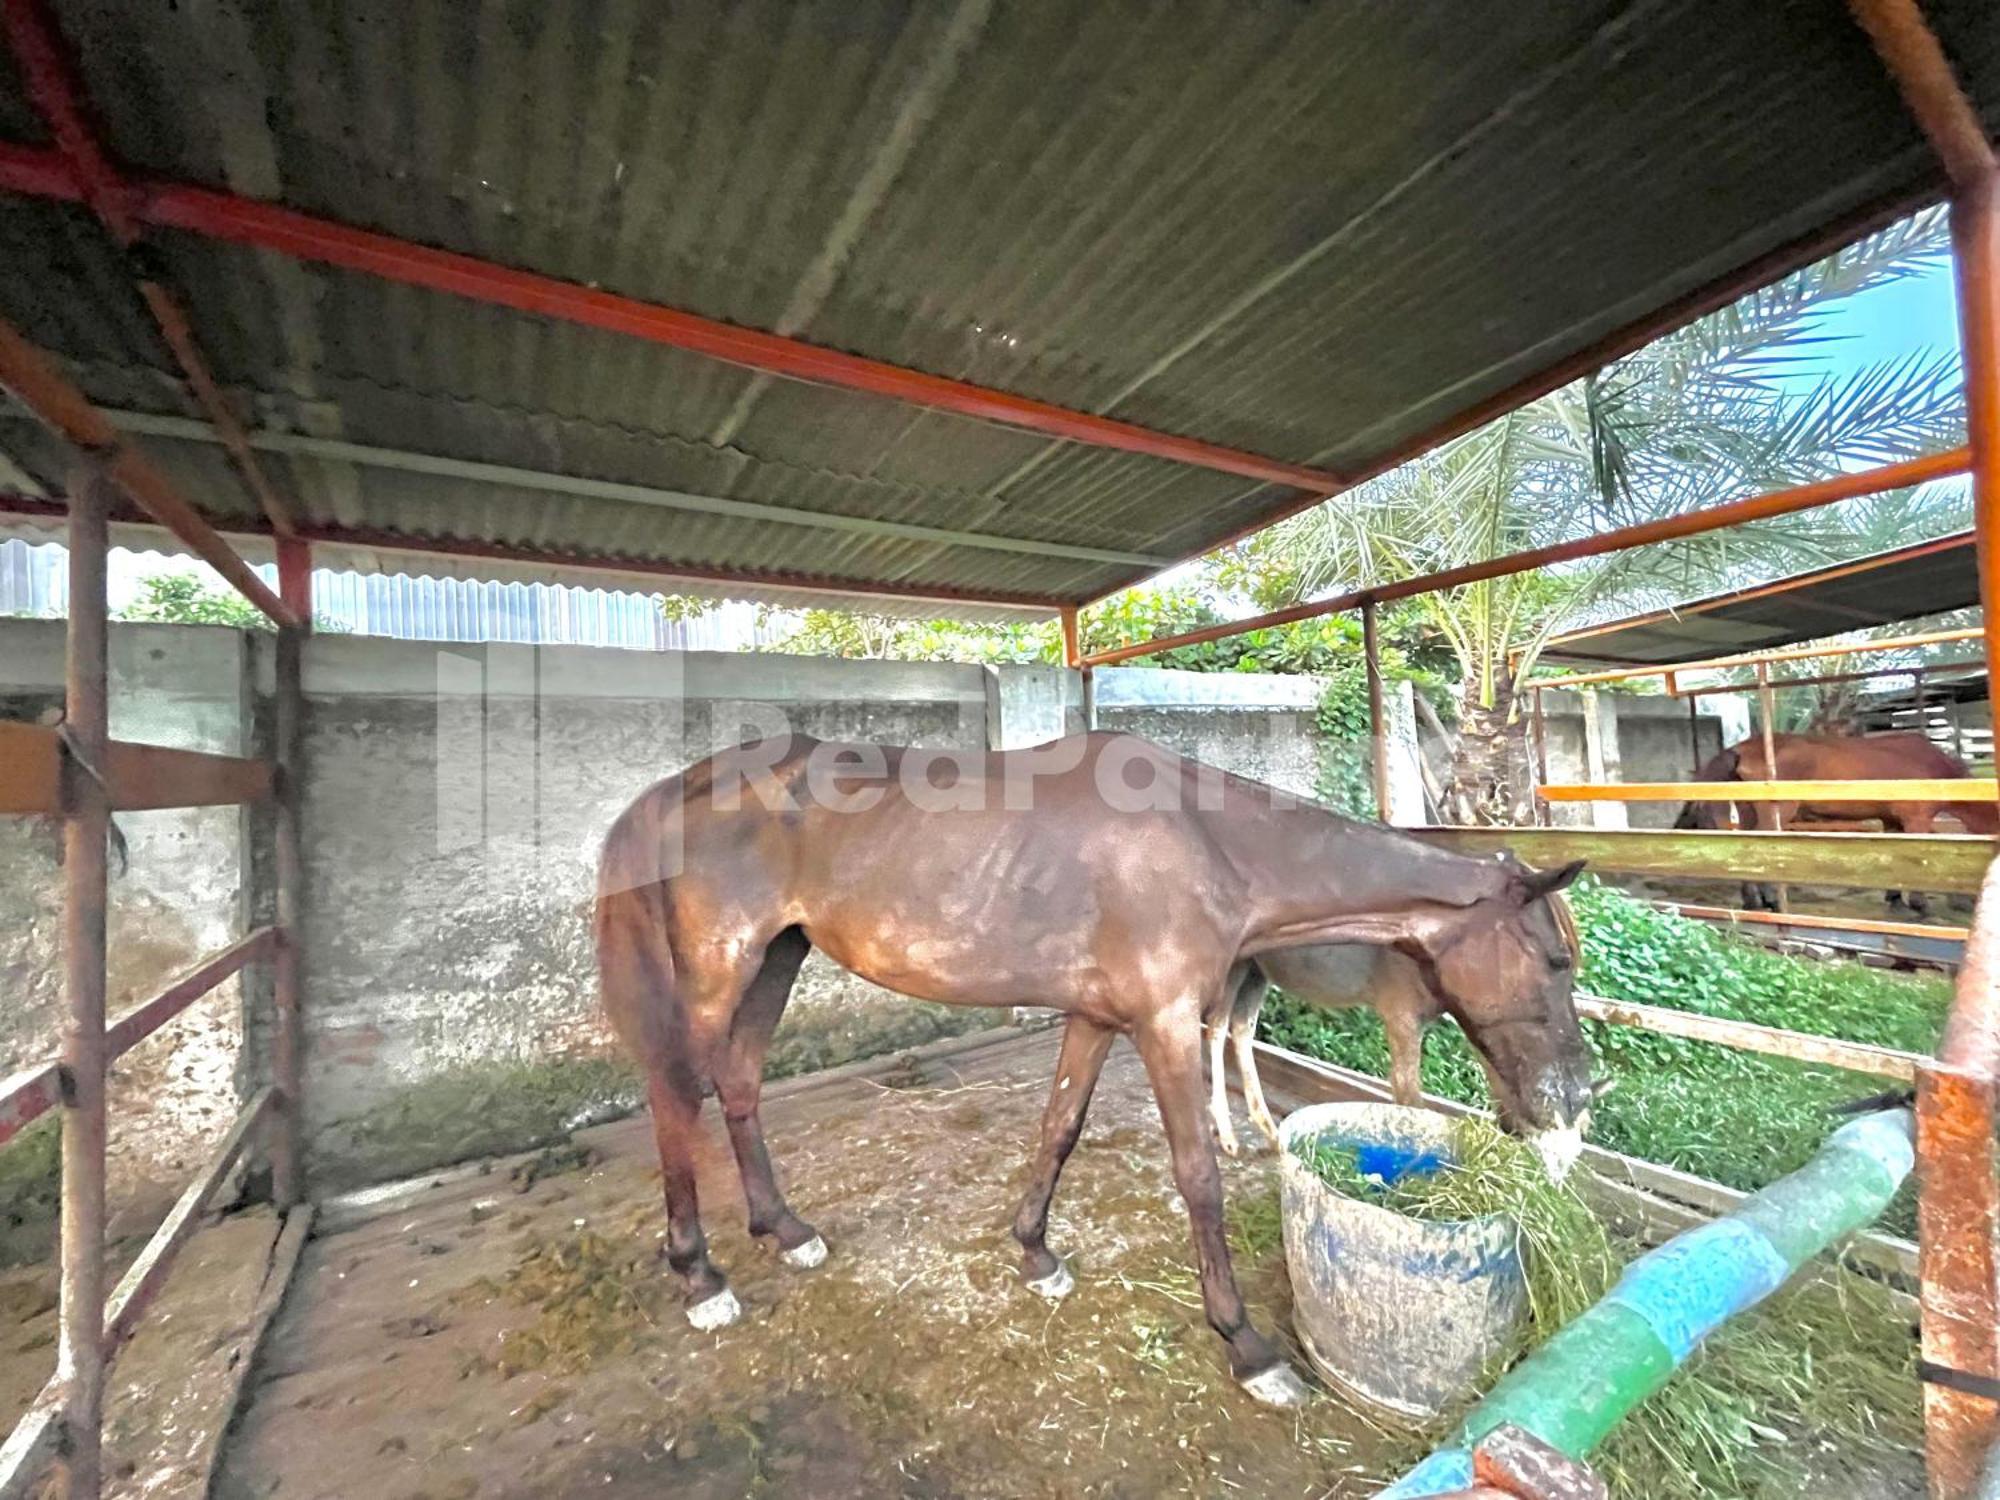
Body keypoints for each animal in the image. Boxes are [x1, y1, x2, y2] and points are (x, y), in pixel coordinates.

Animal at [592, 732, 1592, 1408]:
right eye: (1554, 960)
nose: (1576, 1094)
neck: (1207, 843)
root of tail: (674, 791)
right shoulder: (1165, 1025)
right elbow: (1197, 1176)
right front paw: (1248, 1347)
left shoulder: (1097, 1017)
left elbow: (1059, 1127)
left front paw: (1035, 1253)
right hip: (719, 973)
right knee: (678, 1095)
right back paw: (701, 1276)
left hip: (777, 960)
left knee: (739, 1084)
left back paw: (784, 1228)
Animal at [1664, 732, 1992, 912]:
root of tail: (1742, 748)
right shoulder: (1916, 820)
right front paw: (1919, 904)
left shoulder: (1892, 821)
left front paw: (1896, 900)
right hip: (1775, 813)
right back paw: (1772, 901)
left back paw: (1753, 901)